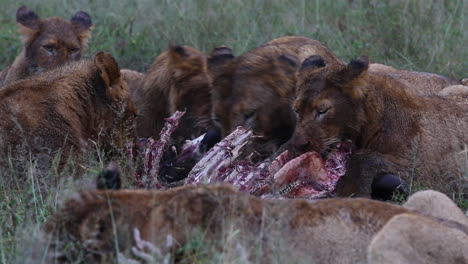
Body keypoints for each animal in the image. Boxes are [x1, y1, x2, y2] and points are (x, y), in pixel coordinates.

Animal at [290, 55, 468, 199]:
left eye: (322, 110)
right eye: (296, 110)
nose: (299, 145)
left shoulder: (430, 172)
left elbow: (363, 157)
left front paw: (352, 192)